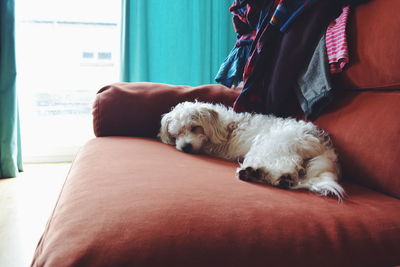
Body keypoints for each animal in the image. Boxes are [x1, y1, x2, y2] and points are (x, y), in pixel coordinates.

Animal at [159, 101, 344, 200]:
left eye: (194, 127)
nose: (185, 147)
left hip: (270, 144)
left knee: (287, 165)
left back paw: (256, 173)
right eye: (176, 134)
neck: (223, 126)